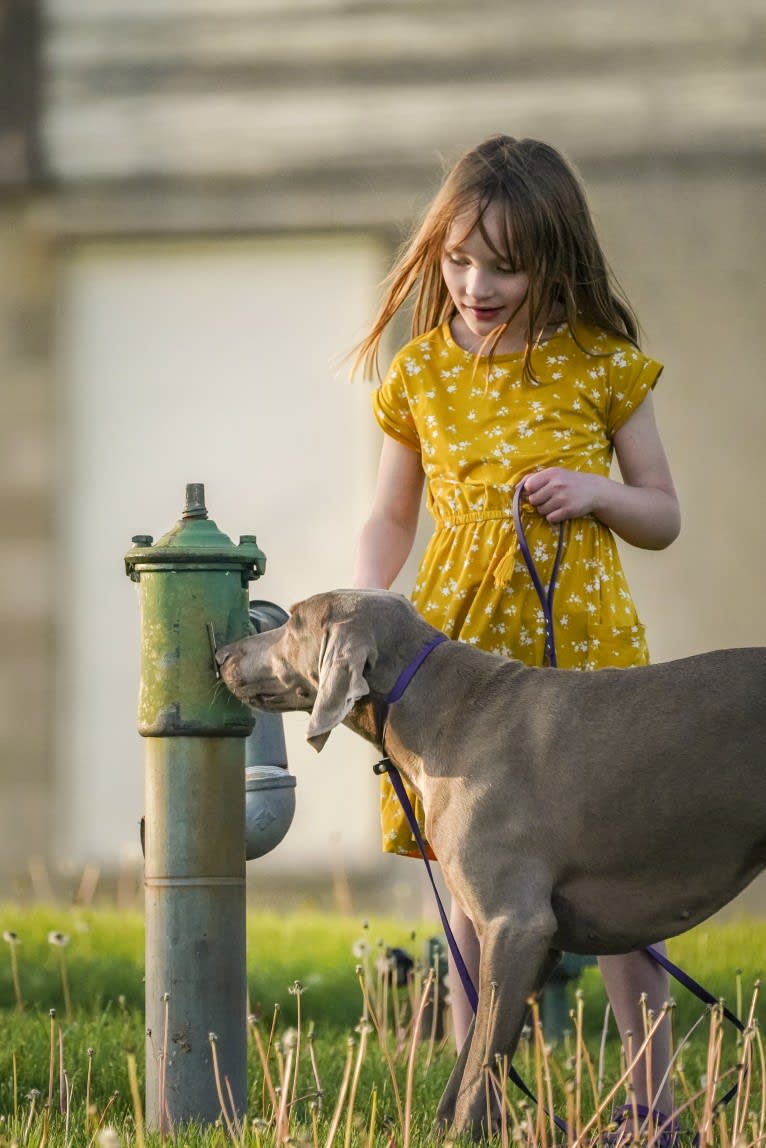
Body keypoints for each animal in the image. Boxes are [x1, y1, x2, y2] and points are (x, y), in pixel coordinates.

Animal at [214, 592, 766, 1138]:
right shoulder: (540, 942)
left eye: (294, 622)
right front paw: (444, 1129)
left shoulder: (516, 924)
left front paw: (462, 1132)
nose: (220, 655)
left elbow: (483, 1057)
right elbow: (479, 1046)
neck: (434, 705)